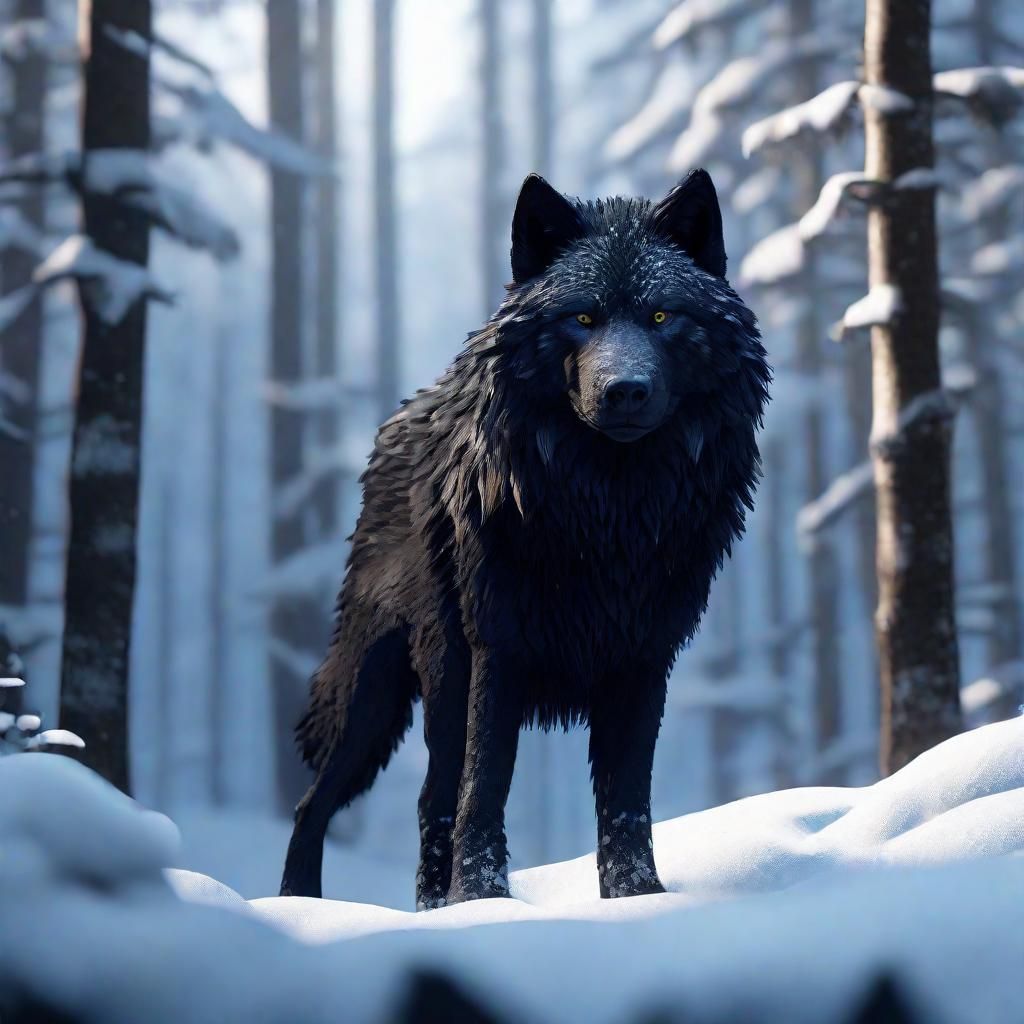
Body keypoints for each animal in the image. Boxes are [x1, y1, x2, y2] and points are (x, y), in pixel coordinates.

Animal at [280, 170, 770, 908]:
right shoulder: (499, 646)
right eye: (583, 319)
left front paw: (638, 897)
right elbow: (486, 786)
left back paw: (429, 910)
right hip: (383, 691)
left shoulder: (644, 655)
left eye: (661, 317)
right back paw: (303, 905)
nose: (626, 390)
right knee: (326, 801)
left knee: (430, 798)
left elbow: (627, 799)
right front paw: (483, 902)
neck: (609, 512)